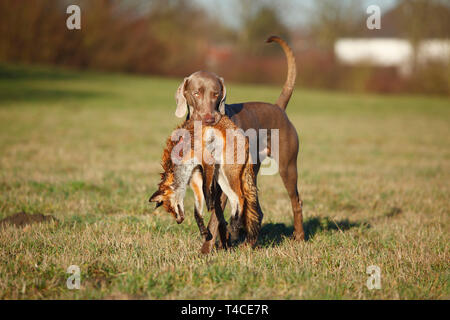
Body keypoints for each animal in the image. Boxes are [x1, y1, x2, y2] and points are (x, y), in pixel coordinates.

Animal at [150, 115, 264, 248]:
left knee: (241, 197)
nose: (178, 222)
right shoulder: (194, 176)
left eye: (171, 208)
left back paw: (235, 226)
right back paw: (233, 225)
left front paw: (209, 202)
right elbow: (196, 211)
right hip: (221, 176)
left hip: (228, 172)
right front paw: (203, 231)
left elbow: (205, 187)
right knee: (234, 200)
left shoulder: (207, 161)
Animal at [174, 37, 304, 252]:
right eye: (196, 93)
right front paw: (223, 242)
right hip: (251, 170)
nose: (210, 118)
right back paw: (248, 244)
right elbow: (218, 216)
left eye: (216, 93)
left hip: (288, 166)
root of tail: (278, 108)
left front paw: (205, 250)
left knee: (296, 201)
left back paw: (299, 237)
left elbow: (215, 219)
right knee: (257, 210)